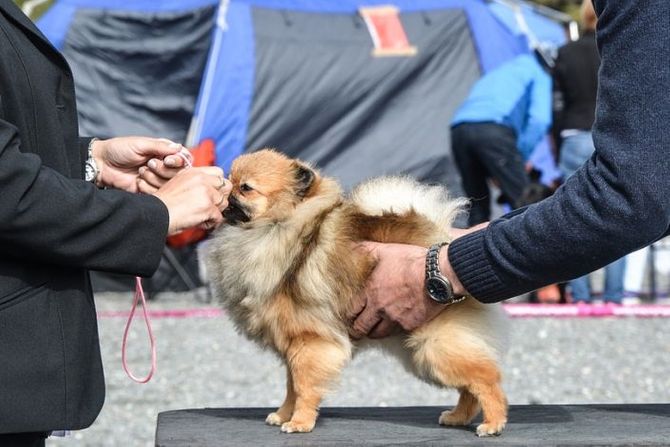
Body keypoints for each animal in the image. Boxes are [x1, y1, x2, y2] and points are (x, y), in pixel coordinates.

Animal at [205, 150, 510, 438]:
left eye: (245, 187)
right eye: (229, 179)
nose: (223, 189)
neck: (276, 226)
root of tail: (440, 237)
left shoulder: (310, 342)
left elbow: (304, 388)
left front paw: (300, 422)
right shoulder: (293, 346)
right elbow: (291, 387)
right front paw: (282, 415)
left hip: (434, 346)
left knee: (487, 378)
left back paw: (493, 423)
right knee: (470, 387)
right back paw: (458, 417)